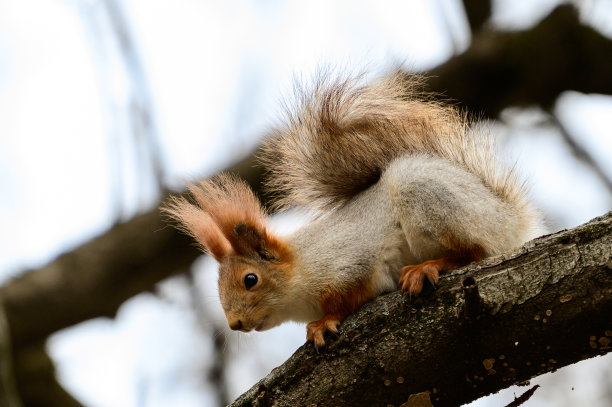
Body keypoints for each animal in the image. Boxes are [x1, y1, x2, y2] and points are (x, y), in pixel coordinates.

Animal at [164, 69, 544, 348]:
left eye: (250, 279)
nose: (234, 324)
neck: (303, 264)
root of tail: (511, 221)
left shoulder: (352, 262)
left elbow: (349, 297)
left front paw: (324, 322)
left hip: (431, 199)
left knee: (474, 251)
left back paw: (427, 267)